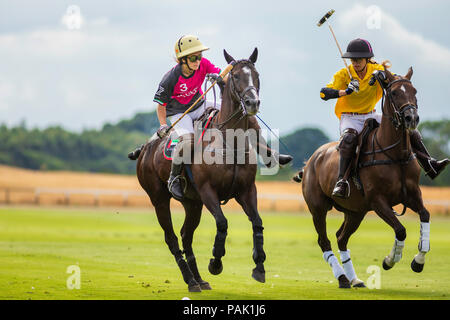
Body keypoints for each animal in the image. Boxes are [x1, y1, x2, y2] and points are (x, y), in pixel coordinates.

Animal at [135, 48, 266, 292]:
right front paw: (215, 263)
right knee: (172, 238)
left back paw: (198, 279)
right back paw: (189, 279)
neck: (230, 142)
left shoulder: (246, 190)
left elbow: (257, 222)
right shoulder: (207, 191)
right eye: (235, 76)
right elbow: (222, 223)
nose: (252, 103)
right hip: (159, 199)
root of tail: (145, 148)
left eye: (256, 75)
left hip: (192, 203)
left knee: (186, 235)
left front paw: (259, 266)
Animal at [298, 67, 430, 288]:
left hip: (355, 211)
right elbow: (400, 230)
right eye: (394, 93)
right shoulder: (378, 201)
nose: (411, 118)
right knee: (324, 241)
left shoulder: (412, 194)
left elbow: (425, 215)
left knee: (341, 238)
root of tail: (311, 160)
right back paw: (342, 278)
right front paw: (389, 260)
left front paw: (418, 262)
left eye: (415, 91)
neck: (396, 154)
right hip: (317, 207)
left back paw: (354, 279)